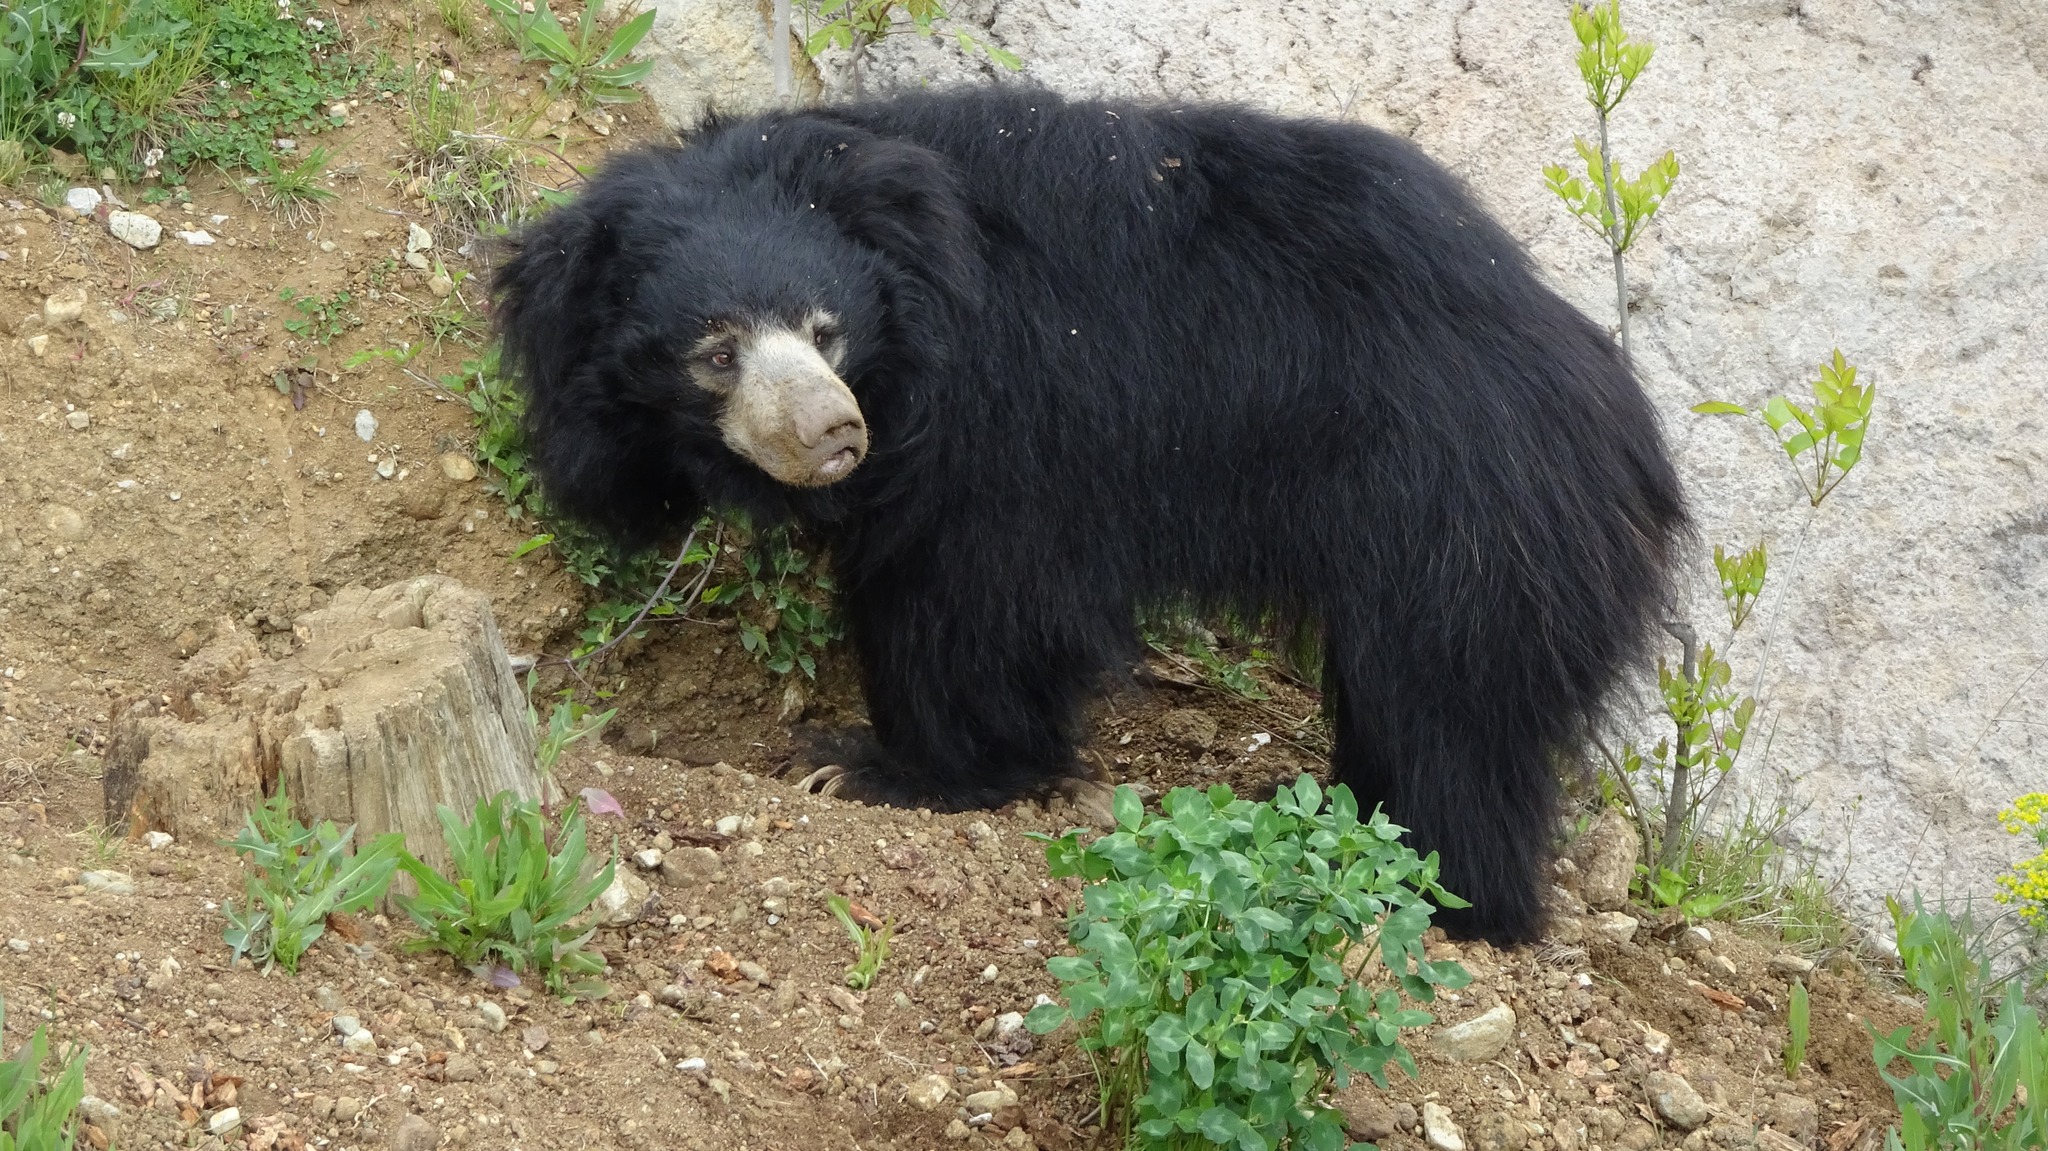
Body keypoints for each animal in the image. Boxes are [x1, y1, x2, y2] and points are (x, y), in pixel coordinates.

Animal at [491, 88, 1688, 944]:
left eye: (826, 331)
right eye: (715, 352)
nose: (834, 431)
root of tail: (1617, 409)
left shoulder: (1011, 418)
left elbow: (975, 593)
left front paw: (883, 766)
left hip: (1467, 513)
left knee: (1451, 705)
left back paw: (1437, 888)